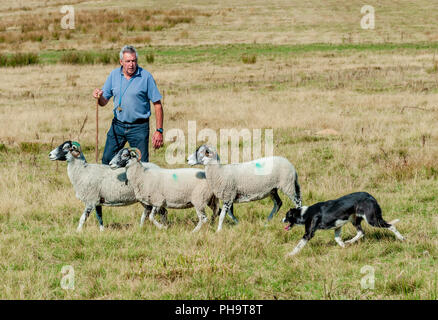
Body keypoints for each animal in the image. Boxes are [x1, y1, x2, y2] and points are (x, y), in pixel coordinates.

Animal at [108, 148, 236, 232]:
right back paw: (212, 226)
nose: (110, 164)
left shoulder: (157, 201)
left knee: (203, 218)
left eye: (125, 155)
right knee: (216, 212)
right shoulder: (150, 203)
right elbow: (148, 216)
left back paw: (194, 231)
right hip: (209, 200)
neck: (142, 176)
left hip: (199, 200)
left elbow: (151, 218)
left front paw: (162, 227)